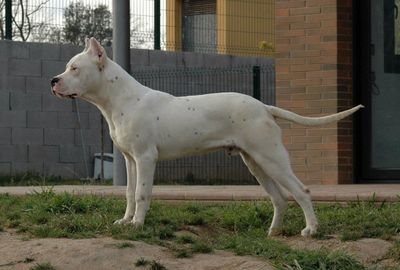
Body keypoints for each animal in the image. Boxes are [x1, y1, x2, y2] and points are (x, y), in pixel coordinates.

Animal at [50, 38, 362, 236]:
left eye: (75, 68)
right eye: (67, 67)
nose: (54, 81)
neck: (120, 100)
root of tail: (263, 106)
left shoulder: (146, 158)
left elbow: (141, 193)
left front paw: (138, 225)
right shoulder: (130, 159)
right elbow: (128, 193)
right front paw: (126, 221)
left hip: (271, 158)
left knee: (301, 191)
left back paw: (311, 229)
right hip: (256, 162)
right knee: (280, 198)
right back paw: (273, 231)